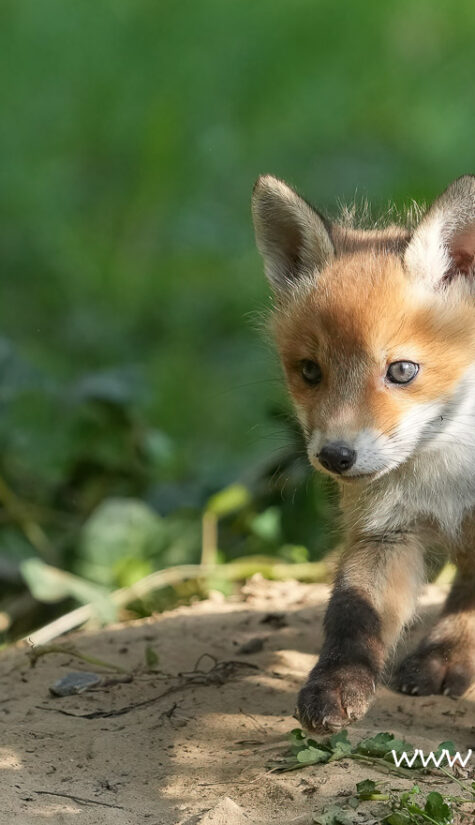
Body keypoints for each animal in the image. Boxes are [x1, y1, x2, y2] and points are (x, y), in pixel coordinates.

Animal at [251, 173, 475, 732]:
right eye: (310, 371)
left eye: (402, 371)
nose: (336, 456)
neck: (450, 475)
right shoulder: (385, 530)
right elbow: (353, 616)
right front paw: (335, 686)